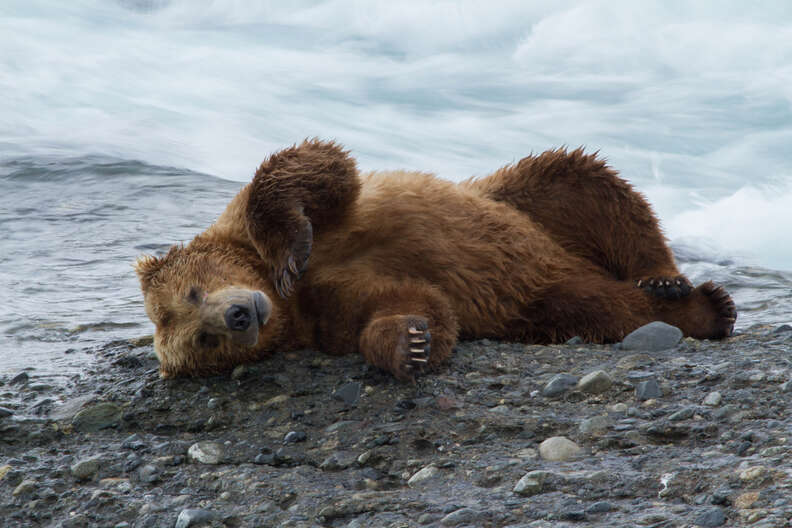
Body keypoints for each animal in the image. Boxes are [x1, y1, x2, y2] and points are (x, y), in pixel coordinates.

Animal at [136, 139, 736, 380]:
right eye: (202, 340)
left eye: (191, 291)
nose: (239, 315)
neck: (288, 301)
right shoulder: (325, 312)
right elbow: (408, 302)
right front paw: (410, 343)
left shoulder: (268, 224)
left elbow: (309, 169)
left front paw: (291, 249)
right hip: (539, 304)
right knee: (599, 309)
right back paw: (706, 309)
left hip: (526, 203)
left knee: (591, 184)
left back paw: (668, 281)